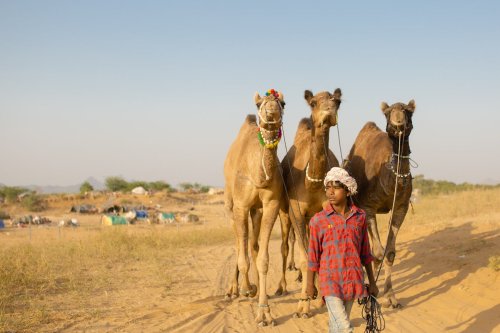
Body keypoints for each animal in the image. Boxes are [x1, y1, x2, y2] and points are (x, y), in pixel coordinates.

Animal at [224, 89, 286, 326]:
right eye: (260, 103)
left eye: (283, 103)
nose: (271, 110)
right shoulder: (241, 206)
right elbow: (242, 257)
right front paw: (246, 289)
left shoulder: (271, 205)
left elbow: (263, 259)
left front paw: (264, 313)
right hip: (230, 204)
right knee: (238, 243)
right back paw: (235, 289)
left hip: (256, 211)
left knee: (252, 244)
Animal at [276, 88, 342, 316]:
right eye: (313, 103)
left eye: (337, 101)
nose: (328, 112)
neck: (311, 182)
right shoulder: (296, 212)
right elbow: (305, 260)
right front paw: (303, 304)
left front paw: (322, 297)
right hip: (284, 213)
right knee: (285, 245)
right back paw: (282, 287)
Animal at [344, 100, 418, 308]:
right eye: (387, 113)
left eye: (408, 111)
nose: (398, 122)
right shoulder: (368, 208)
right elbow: (377, 252)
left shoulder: (400, 207)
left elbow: (389, 253)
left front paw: (391, 296)